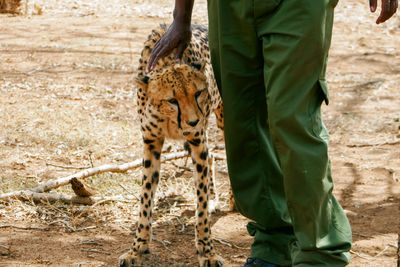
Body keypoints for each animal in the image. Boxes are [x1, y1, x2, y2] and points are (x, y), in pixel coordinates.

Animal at [118, 23, 225, 267]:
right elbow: (145, 198)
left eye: (198, 93)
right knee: (213, 156)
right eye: (172, 100)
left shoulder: (197, 142)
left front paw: (207, 251)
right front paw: (137, 248)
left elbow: (200, 202)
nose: (193, 121)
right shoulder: (151, 143)